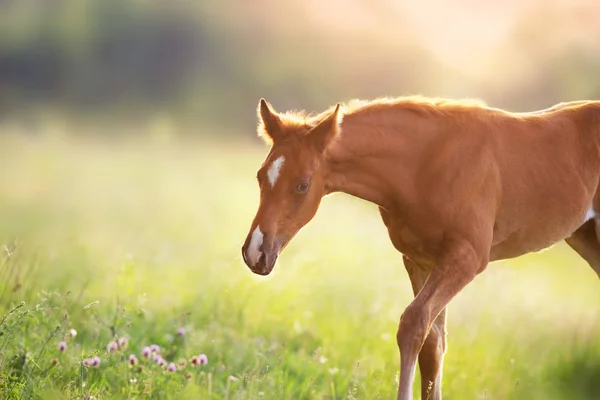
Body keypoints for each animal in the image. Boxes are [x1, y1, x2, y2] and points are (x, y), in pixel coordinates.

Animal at [240, 95, 600, 398]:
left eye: (302, 185)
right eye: (259, 176)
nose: (255, 252)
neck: (423, 165)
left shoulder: (467, 258)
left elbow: (413, 323)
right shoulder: (419, 259)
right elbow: (432, 343)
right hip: (587, 239)